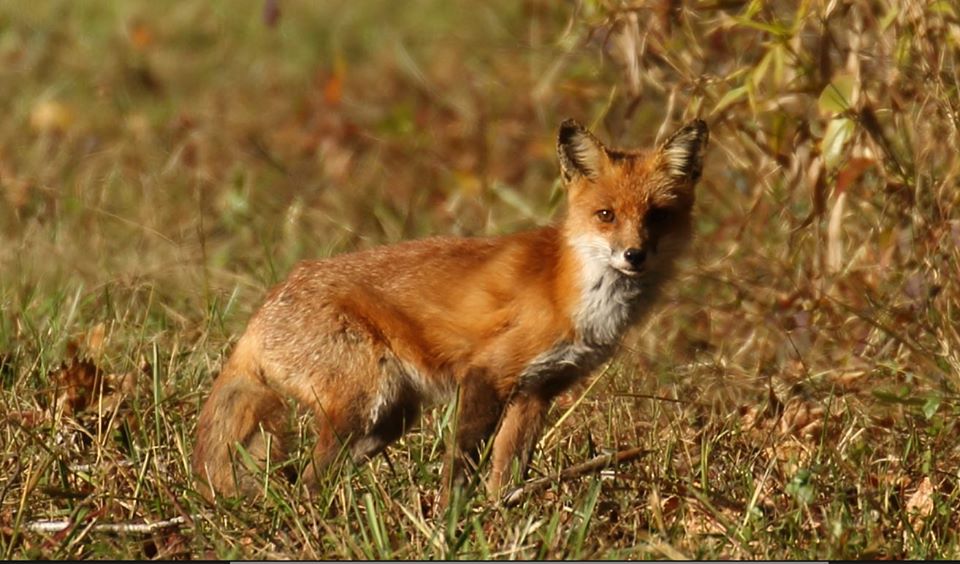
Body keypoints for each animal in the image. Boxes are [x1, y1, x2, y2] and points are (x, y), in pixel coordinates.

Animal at [193, 117, 704, 500]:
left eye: (658, 216)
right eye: (606, 216)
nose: (634, 255)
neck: (569, 290)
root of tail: (263, 310)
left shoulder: (537, 391)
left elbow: (506, 474)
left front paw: (500, 522)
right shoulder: (486, 375)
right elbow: (460, 469)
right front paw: (450, 524)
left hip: (386, 420)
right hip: (361, 405)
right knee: (309, 481)